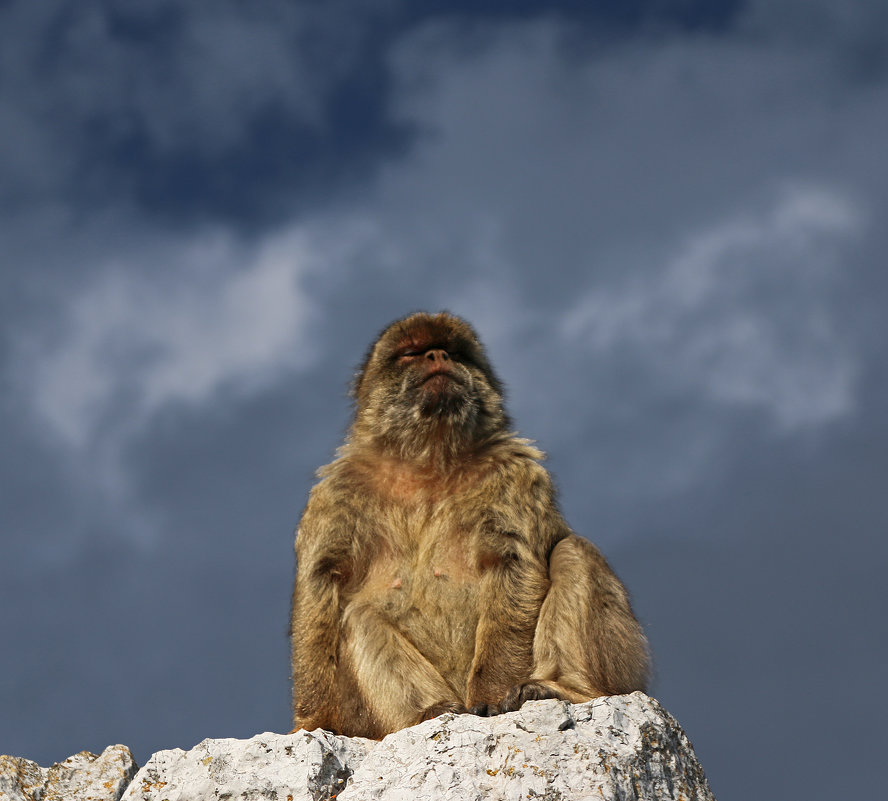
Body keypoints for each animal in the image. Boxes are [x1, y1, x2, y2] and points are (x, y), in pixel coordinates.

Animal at [292, 310, 644, 736]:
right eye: (411, 353)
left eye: (454, 351)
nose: (437, 355)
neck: (429, 459)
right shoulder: (336, 492)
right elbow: (321, 585)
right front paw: (313, 719)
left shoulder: (514, 473)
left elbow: (513, 564)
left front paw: (493, 692)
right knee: (357, 615)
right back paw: (431, 711)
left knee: (574, 551)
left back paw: (561, 687)